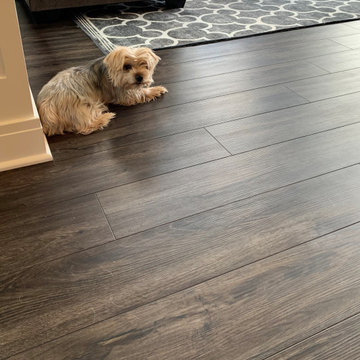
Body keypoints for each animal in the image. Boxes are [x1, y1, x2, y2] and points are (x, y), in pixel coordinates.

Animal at [36, 45, 166, 135]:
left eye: (145, 65)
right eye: (127, 67)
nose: (140, 77)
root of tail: (45, 108)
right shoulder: (124, 94)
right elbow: (140, 92)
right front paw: (157, 89)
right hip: (82, 105)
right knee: (86, 126)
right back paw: (105, 117)